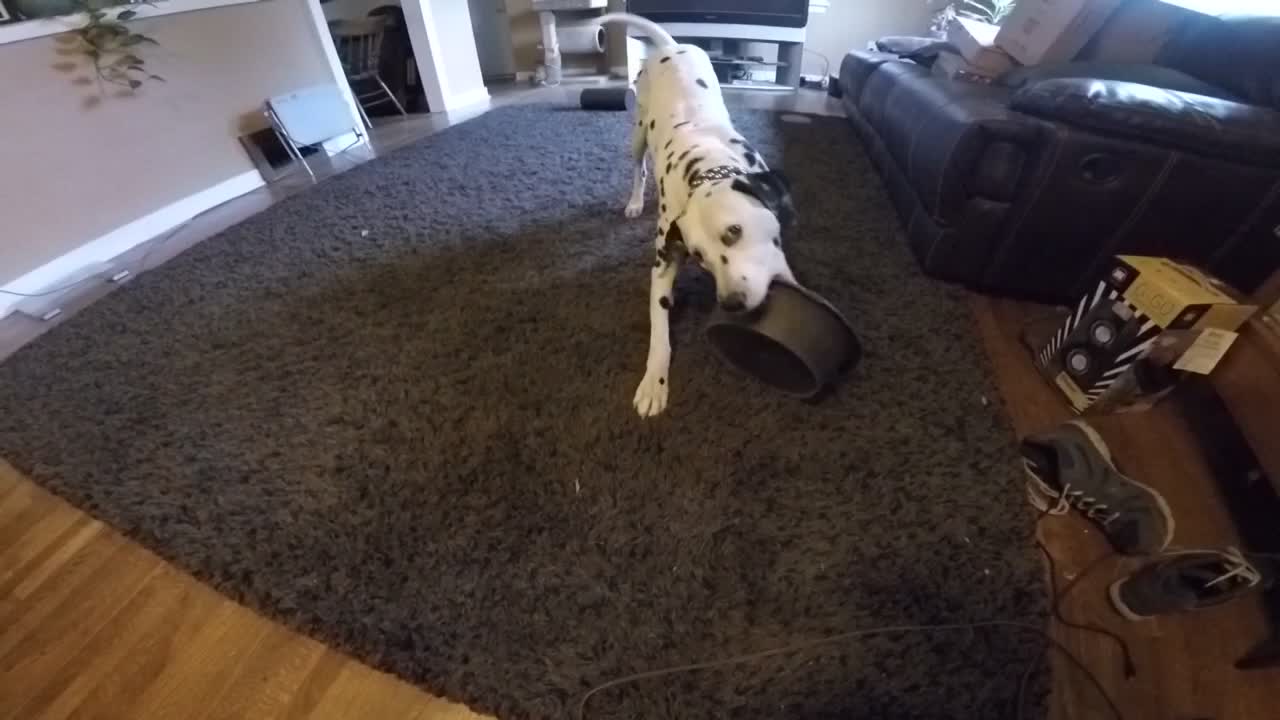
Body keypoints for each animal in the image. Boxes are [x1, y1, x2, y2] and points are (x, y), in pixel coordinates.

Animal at [596, 12, 793, 420]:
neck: (705, 165)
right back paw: (635, 201)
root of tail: (671, 46)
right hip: (638, 132)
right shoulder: (663, 265)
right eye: (699, 257)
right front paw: (653, 382)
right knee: (638, 169)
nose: (732, 302)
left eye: (734, 231)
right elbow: (659, 329)